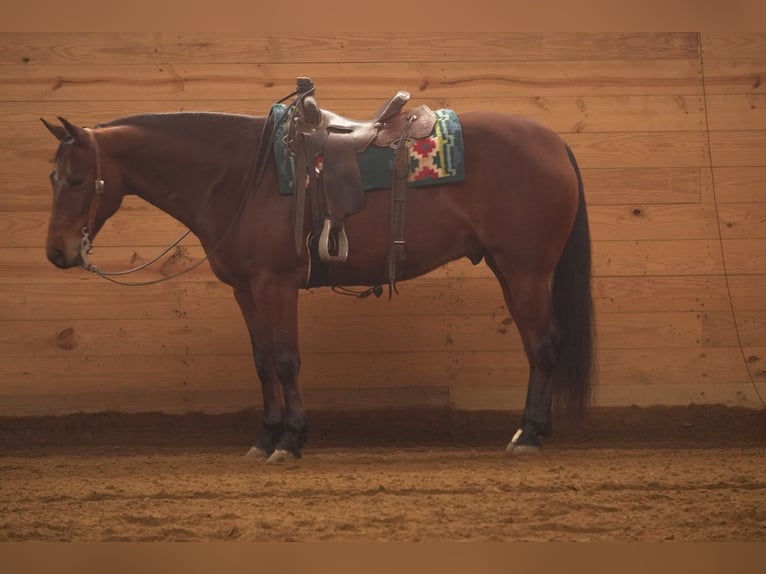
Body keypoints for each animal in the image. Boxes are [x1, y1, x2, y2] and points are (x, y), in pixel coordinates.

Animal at [41, 95, 594, 462]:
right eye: (52, 178)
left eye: (78, 179)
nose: (57, 252)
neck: (238, 175)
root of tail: (553, 143)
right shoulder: (246, 291)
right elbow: (263, 361)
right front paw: (265, 437)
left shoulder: (275, 285)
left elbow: (287, 361)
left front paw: (290, 441)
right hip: (510, 269)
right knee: (540, 346)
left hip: (525, 271)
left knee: (543, 344)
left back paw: (528, 434)